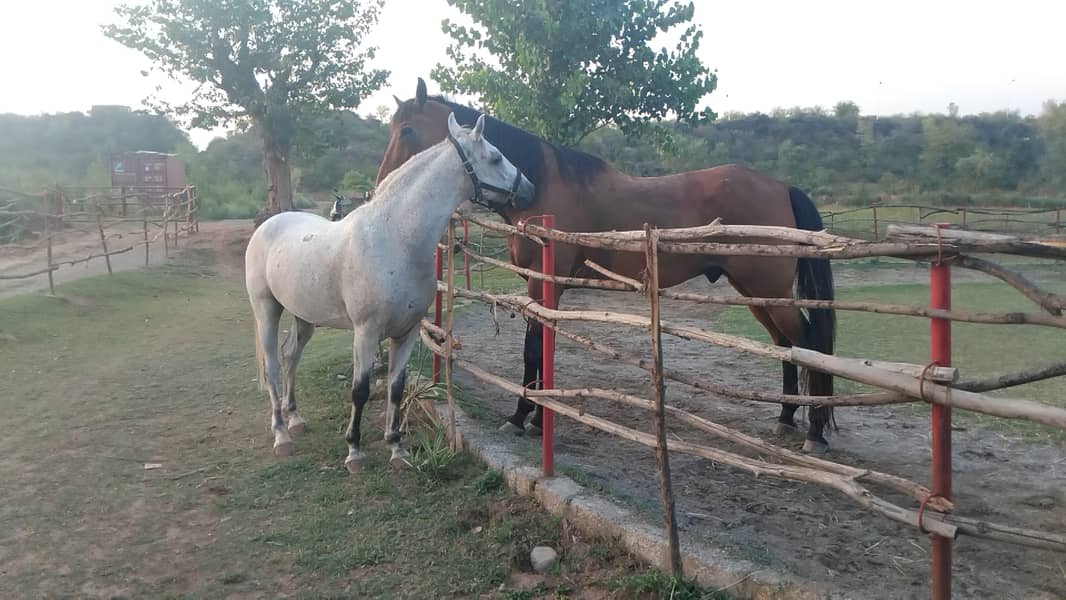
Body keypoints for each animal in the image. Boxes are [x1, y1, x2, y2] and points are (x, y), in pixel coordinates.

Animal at [245, 113, 535, 471]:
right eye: (495, 157)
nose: (530, 189)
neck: (395, 239)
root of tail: (268, 224)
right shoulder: (366, 333)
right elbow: (360, 390)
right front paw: (354, 451)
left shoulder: (406, 332)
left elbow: (397, 388)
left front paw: (397, 448)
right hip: (266, 309)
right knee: (273, 364)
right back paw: (282, 435)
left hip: (304, 316)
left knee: (290, 357)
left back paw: (295, 419)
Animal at [376, 79, 838, 453]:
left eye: (408, 130)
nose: (381, 185)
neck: (540, 186)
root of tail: (782, 186)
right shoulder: (538, 287)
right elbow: (537, 351)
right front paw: (531, 417)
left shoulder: (545, 287)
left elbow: (534, 349)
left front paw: (527, 416)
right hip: (756, 293)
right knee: (785, 346)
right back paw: (785, 419)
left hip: (768, 291)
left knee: (809, 346)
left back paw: (815, 433)